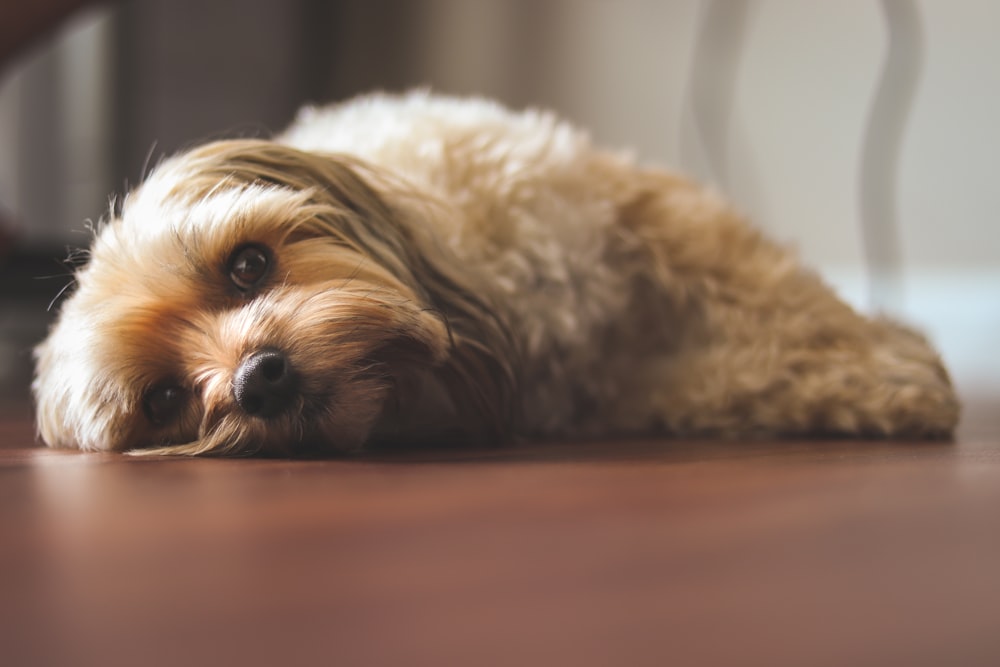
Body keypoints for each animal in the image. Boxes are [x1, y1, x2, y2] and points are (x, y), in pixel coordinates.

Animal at [33, 91, 960, 456]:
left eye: (249, 263)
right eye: (163, 400)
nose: (260, 378)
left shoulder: (643, 212)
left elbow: (774, 292)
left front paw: (887, 364)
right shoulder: (631, 382)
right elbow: (737, 376)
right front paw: (869, 381)